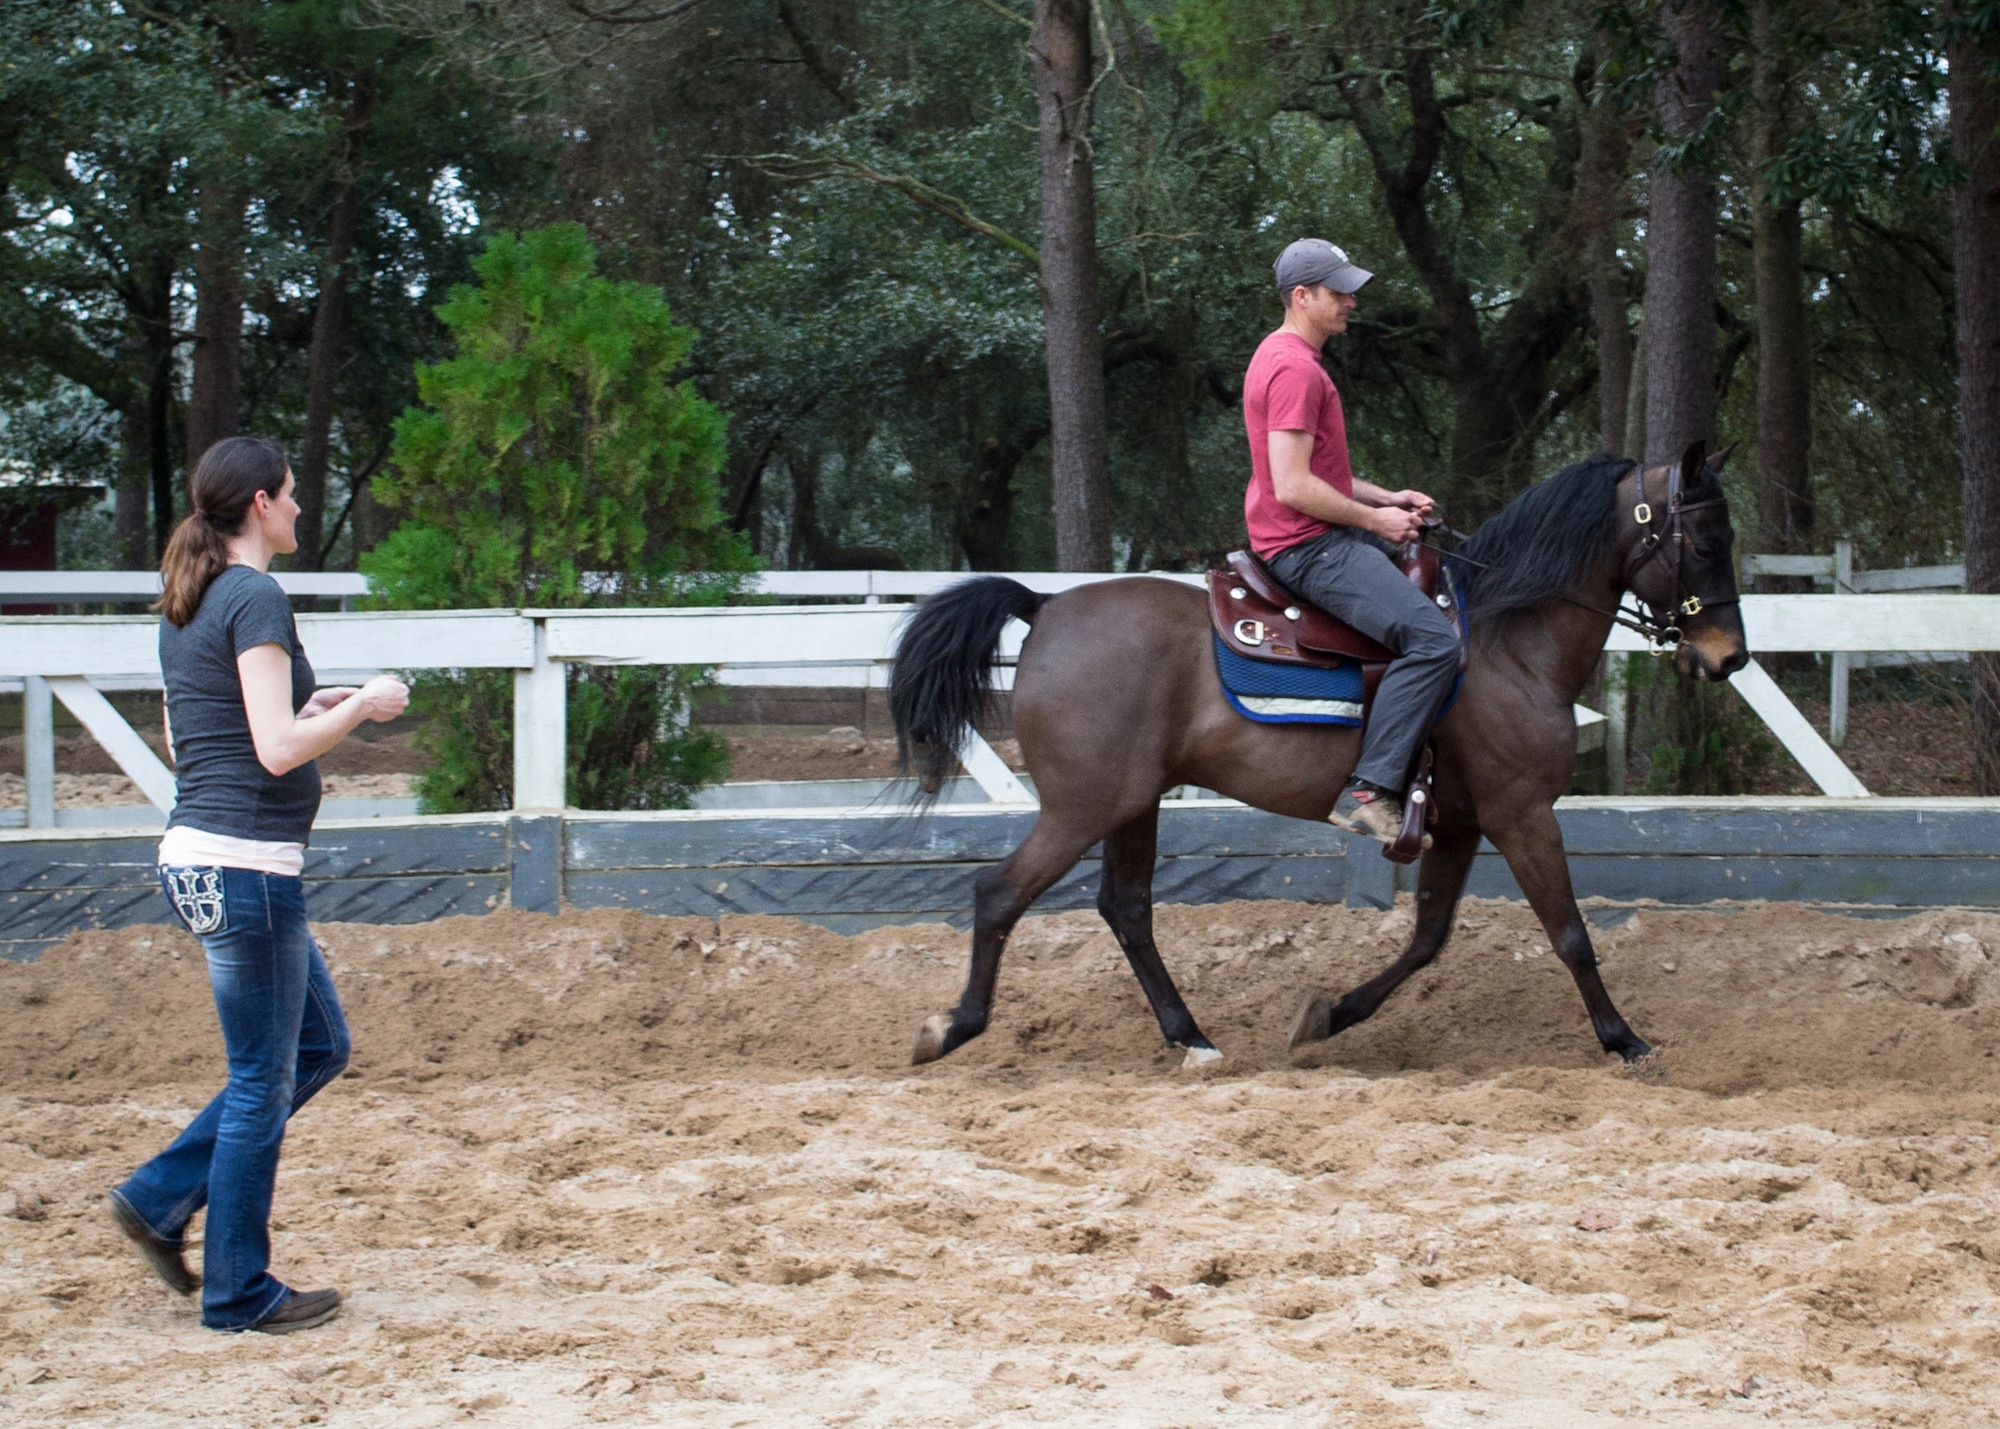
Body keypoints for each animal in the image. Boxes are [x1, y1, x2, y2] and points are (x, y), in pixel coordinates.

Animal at [892, 450, 1752, 1064]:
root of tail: (1045, 606)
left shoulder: (1463, 821)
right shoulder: (1521, 812)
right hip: (1084, 805)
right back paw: (953, 1027)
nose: (1730, 657)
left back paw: (1192, 1037)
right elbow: (1570, 933)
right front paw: (1624, 1039)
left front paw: (1330, 1014)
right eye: (1709, 538)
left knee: (1127, 910)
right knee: (999, 894)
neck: (1509, 643)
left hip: (1132, 803)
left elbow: (1428, 937)